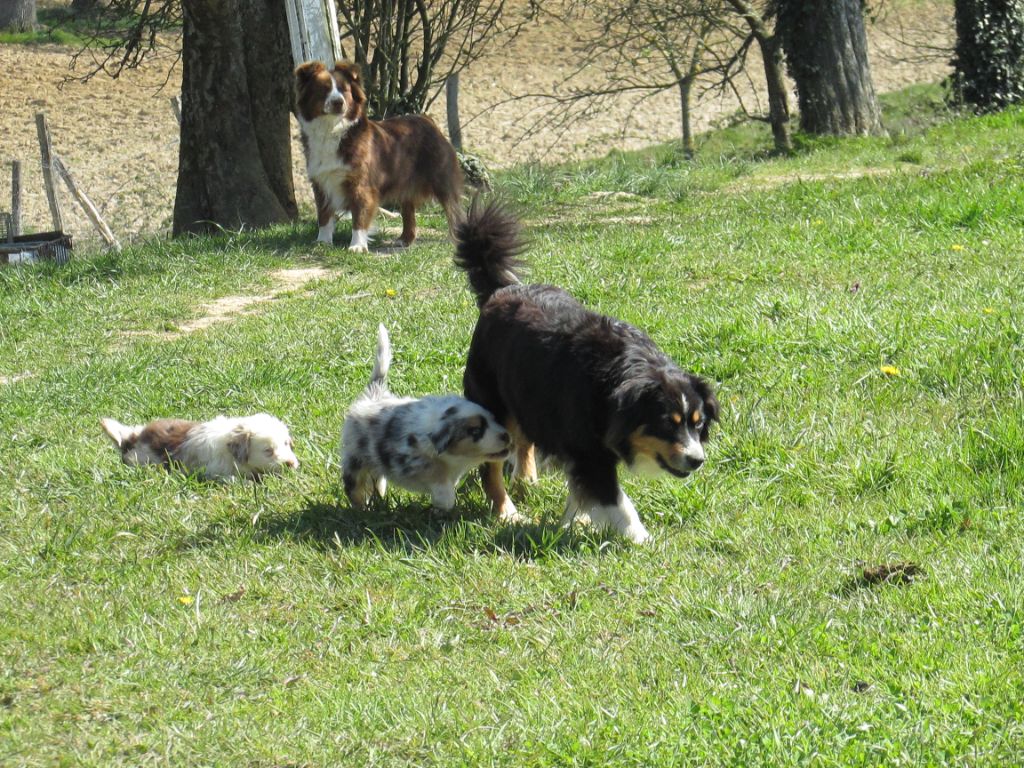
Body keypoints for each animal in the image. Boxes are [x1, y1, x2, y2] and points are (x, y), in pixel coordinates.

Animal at [290, 61, 462, 252]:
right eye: (324, 89)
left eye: (344, 90)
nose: (338, 102)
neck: (332, 129)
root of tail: (428, 121)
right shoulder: (321, 181)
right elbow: (324, 214)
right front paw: (323, 241)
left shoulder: (361, 183)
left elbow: (360, 215)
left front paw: (357, 246)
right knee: (408, 209)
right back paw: (405, 239)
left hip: (441, 176)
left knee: (453, 208)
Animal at [339, 325, 512, 512]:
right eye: (476, 431)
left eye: (493, 419)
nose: (506, 436)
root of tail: (373, 395)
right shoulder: (414, 458)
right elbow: (440, 482)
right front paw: (443, 502)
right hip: (355, 460)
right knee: (355, 489)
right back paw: (362, 508)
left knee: (377, 480)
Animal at [456, 201, 720, 544]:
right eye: (666, 424)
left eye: (697, 423)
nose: (697, 460)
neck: (615, 379)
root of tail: (503, 289)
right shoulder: (588, 451)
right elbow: (615, 500)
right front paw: (642, 540)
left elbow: (580, 488)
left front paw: (575, 520)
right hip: (491, 399)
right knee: (491, 468)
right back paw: (506, 512)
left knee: (524, 438)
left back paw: (526, 481)